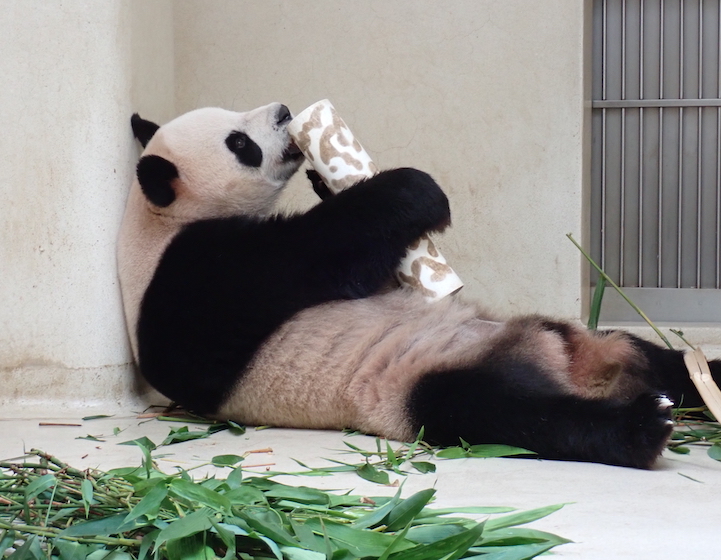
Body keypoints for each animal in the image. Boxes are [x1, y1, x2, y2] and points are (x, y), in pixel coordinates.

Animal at [118, 102, 721, 469]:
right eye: (238, 141)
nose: (286, 112)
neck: (156, 220)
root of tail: (569, 364)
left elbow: (375, 269)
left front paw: (327, 175)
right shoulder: (188, 279)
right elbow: (307, 258)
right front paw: (412, 189)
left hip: (580, 337)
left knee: (659, 359)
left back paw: (696, 381)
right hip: (419, 383)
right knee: (507, 413)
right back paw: (642, 426)